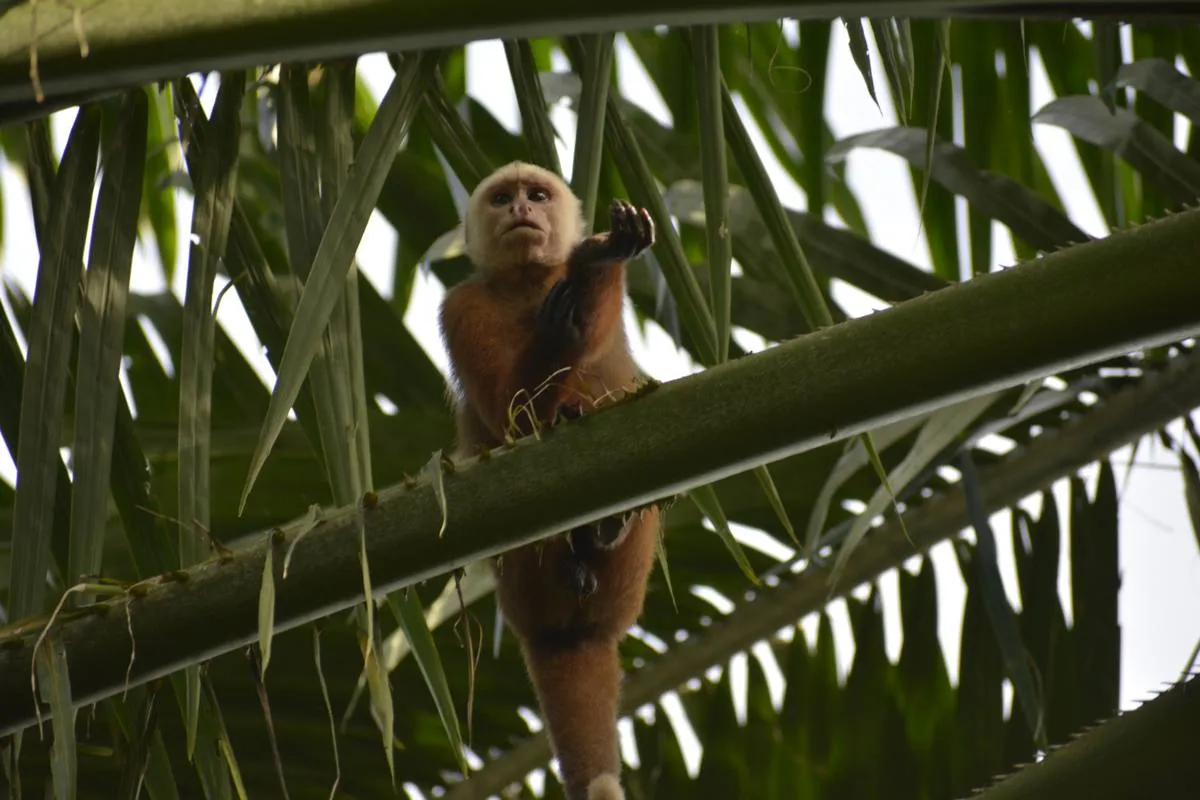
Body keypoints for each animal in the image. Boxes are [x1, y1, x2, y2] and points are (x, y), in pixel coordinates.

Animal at [439, 162, 661, 800]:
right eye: (501, 199)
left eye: (537, 196)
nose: (520, 210)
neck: (529, 286)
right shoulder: (460, 305)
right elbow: (510, 413)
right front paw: (568, 314)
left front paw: (596, 266)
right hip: (523, 582)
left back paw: (601, 534)